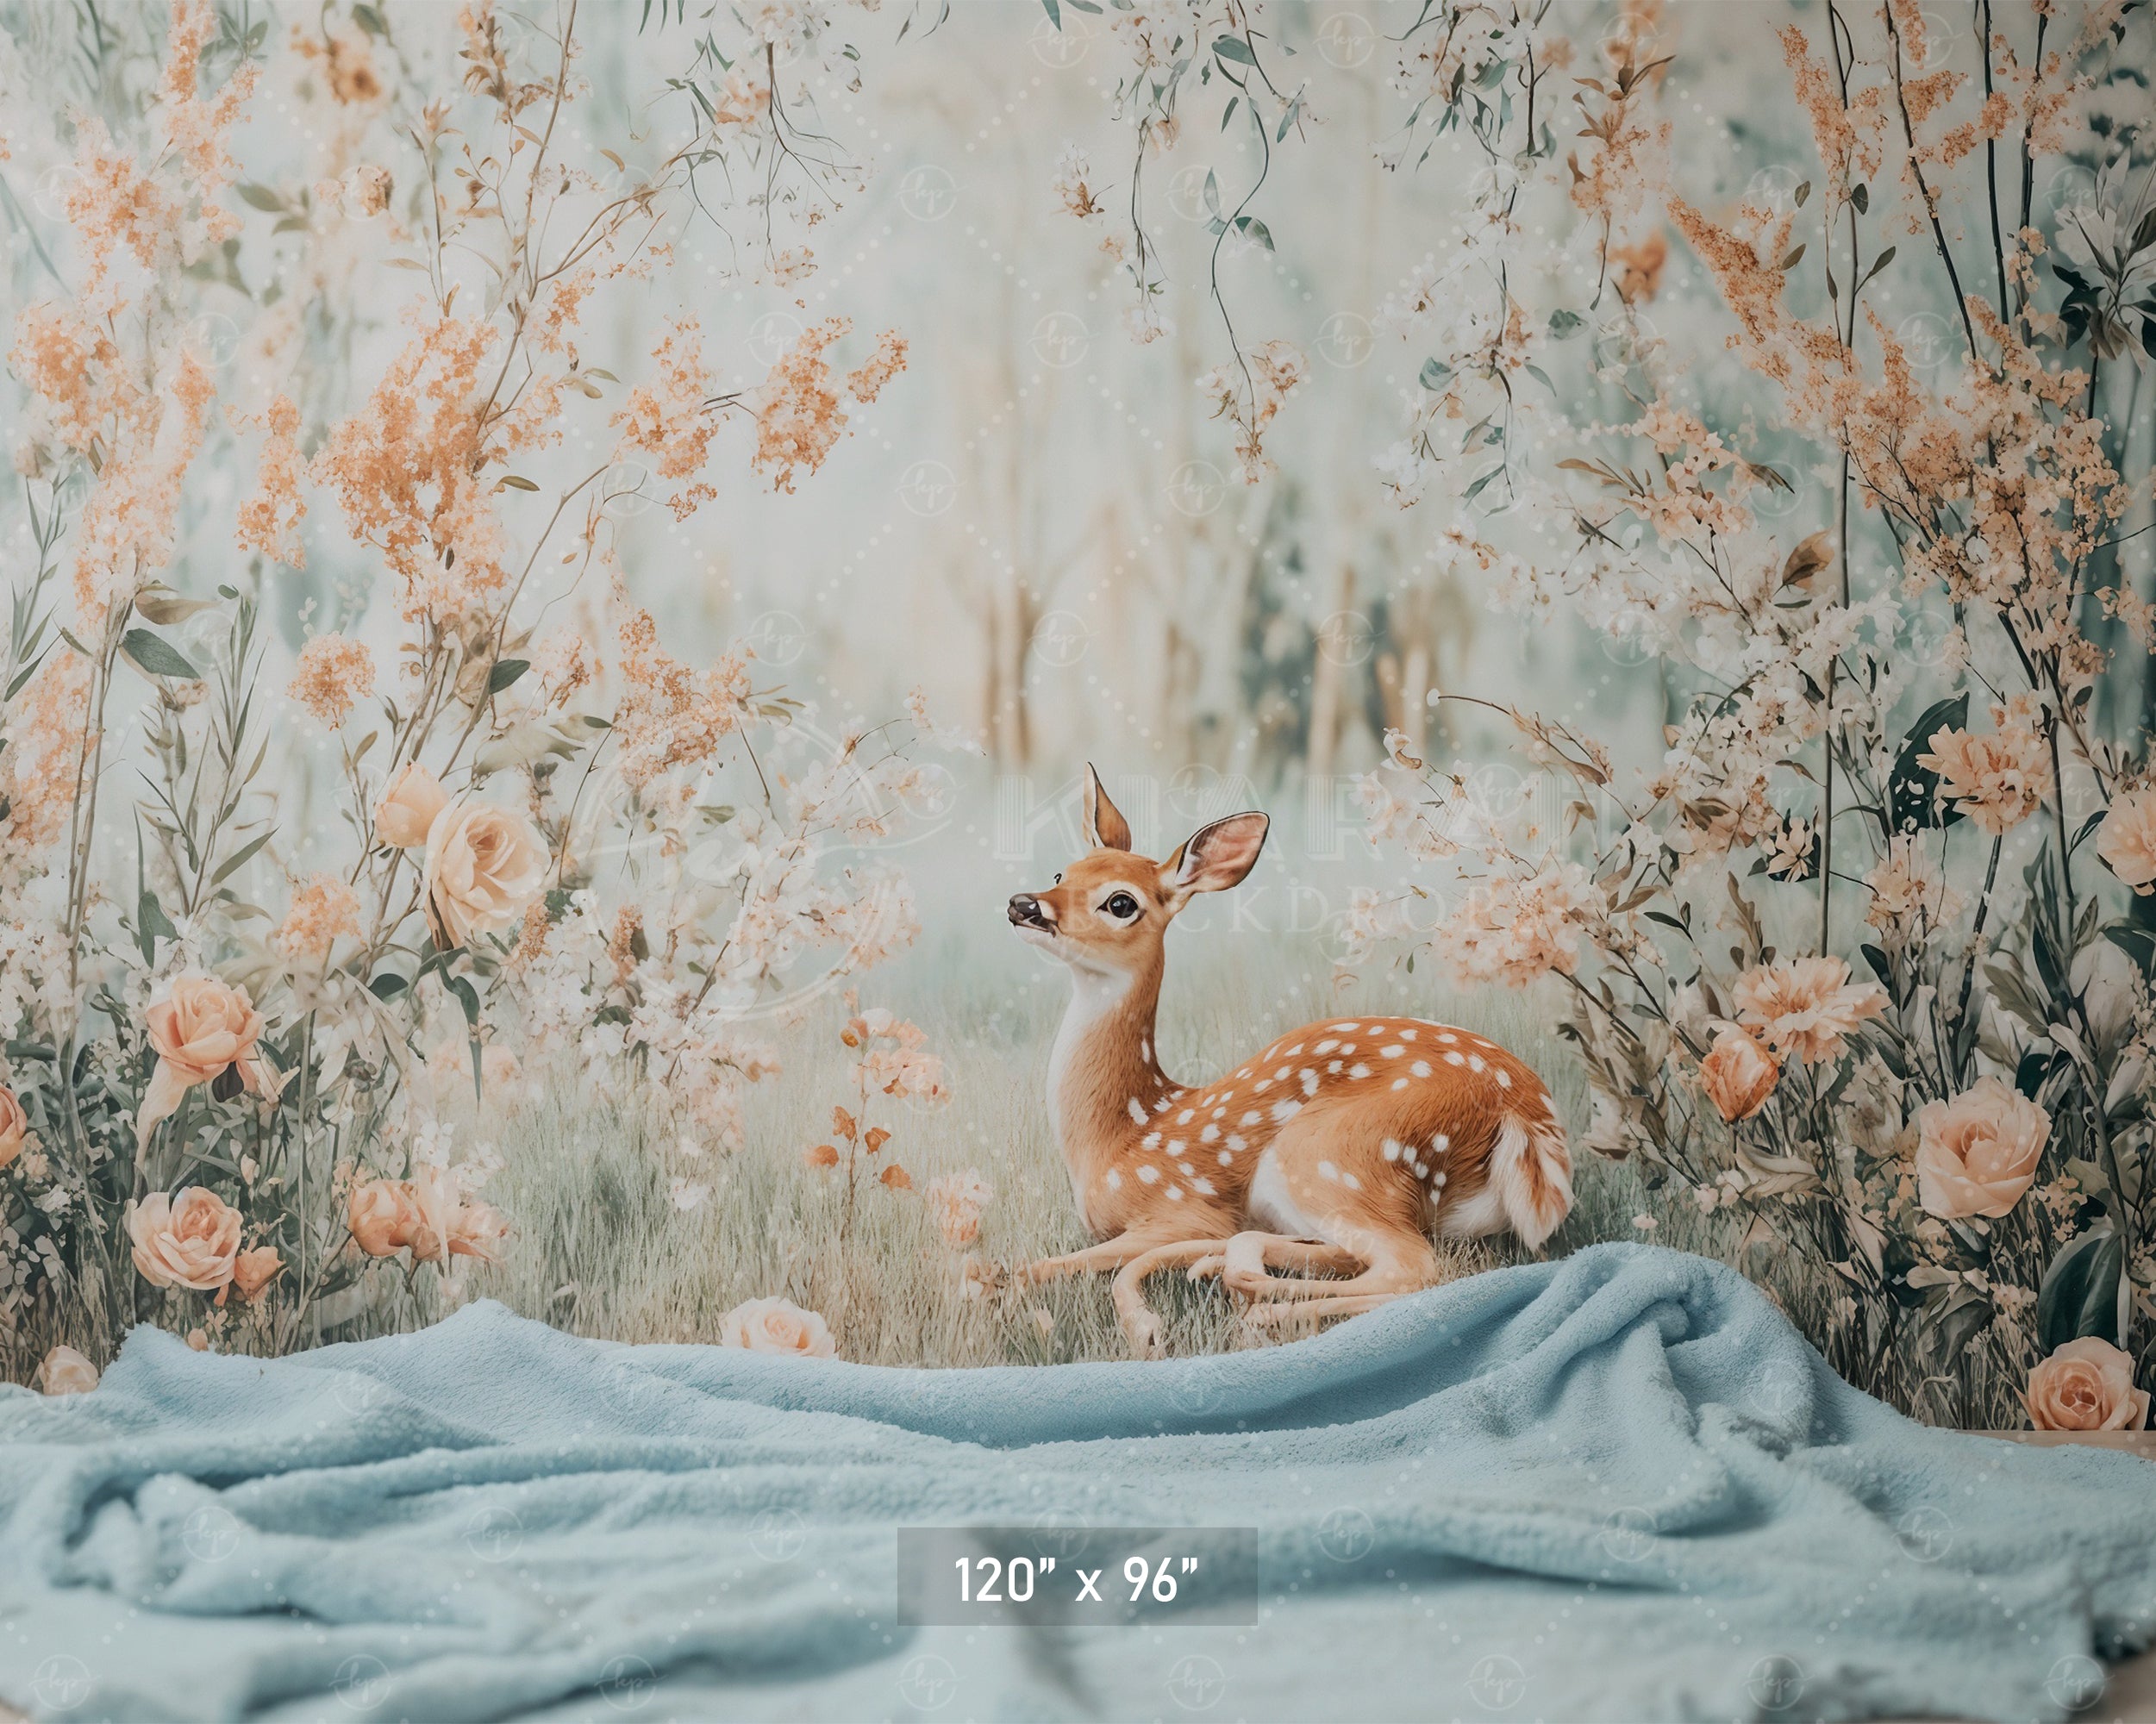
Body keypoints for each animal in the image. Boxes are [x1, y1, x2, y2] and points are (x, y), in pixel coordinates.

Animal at [1006, 766, 1573, 1357]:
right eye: (1062, 872)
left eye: (1120, 903)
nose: (1025, 905)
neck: (1117, 1137)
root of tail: (1525, 1118)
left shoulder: (1182, 1210)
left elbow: (1033, 1269)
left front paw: (1141, 1328)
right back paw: (1221, 1271)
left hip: (1331, 1153)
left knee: (1414, 1268)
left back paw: (1256, 1309)